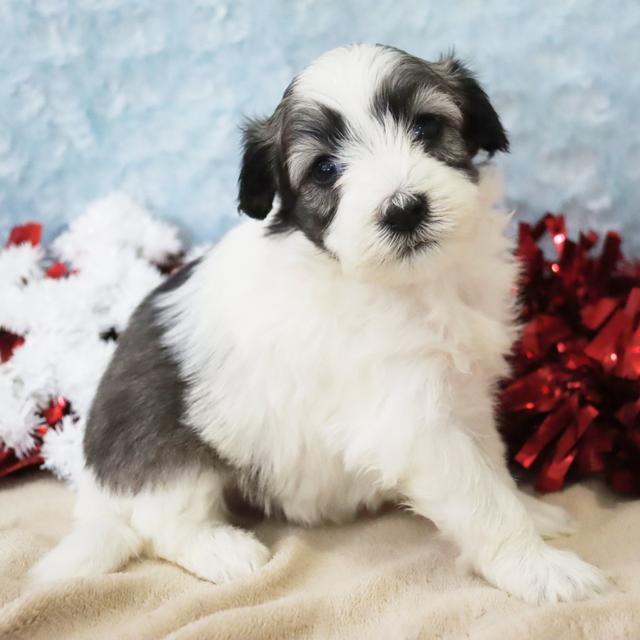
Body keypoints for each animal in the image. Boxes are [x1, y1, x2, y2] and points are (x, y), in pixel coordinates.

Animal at [30, 45, 608, 604]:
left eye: (426, 127)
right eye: (326, 170)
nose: (403, 210)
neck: (412, 282)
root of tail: (96, 496)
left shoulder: (462, 395)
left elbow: (492, 466)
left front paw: (532, 514)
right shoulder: (414, 421)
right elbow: (481, 498)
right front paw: (538, 570)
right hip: (170, 455)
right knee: (160, 525)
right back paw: (224, 551)